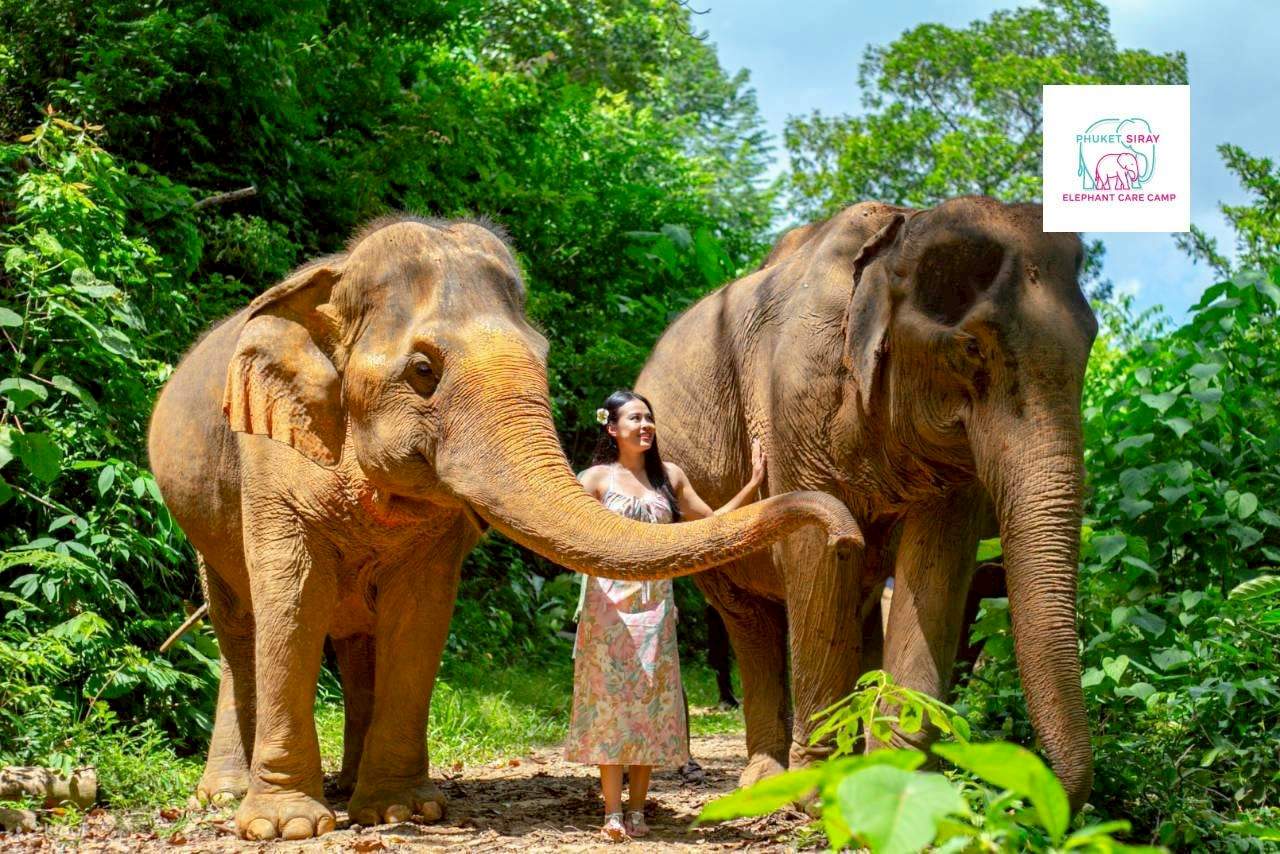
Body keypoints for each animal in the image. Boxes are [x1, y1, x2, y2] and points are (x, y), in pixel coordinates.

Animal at [146, 215, 861, 840]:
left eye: (542, 360)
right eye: (423, 370)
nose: (846, 533)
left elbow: (420, 611)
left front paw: (406, 811)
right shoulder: (269, 456)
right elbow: (293, 600)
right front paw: (286, 826)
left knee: (355, 637)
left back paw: (351, 791)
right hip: (202, 513)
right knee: (239, 626)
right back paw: (229, 795)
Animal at [635, 196, 1098, 810]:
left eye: (1090, 347)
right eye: (972, 348)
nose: (1024, 793)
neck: (899, 236)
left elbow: (936, 564)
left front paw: (897, 786)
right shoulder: (796, 396)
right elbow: (816, 551)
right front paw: (816, 794)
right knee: (749, 619)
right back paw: (765, 780)